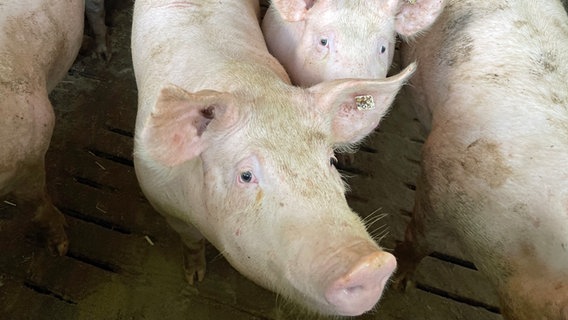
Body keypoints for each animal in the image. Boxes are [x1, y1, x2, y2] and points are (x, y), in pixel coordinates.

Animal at [131, 0, 418, 316]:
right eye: (246, 175)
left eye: (331, 161)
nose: (370, 264)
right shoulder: (163, 201)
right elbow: (191, 242)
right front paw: (194, 277)